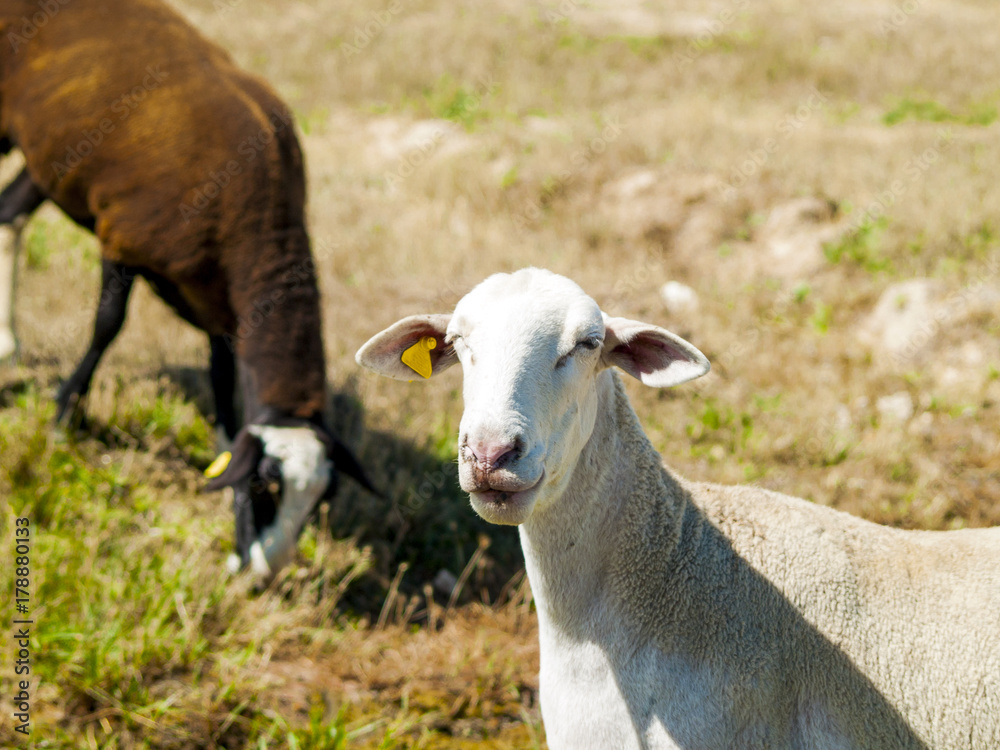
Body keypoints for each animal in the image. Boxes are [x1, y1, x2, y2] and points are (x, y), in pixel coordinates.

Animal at [0, 0, 376, 580]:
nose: (264, 576)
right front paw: (64, 420)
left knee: (9, 214)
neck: (251, 222)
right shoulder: (122, 240)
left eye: (322, 499)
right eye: (263, 483)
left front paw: (221, 447)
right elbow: (107, 327)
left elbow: (222, 377)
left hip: (50, 154)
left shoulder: (220, 302)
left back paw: (7, 343)